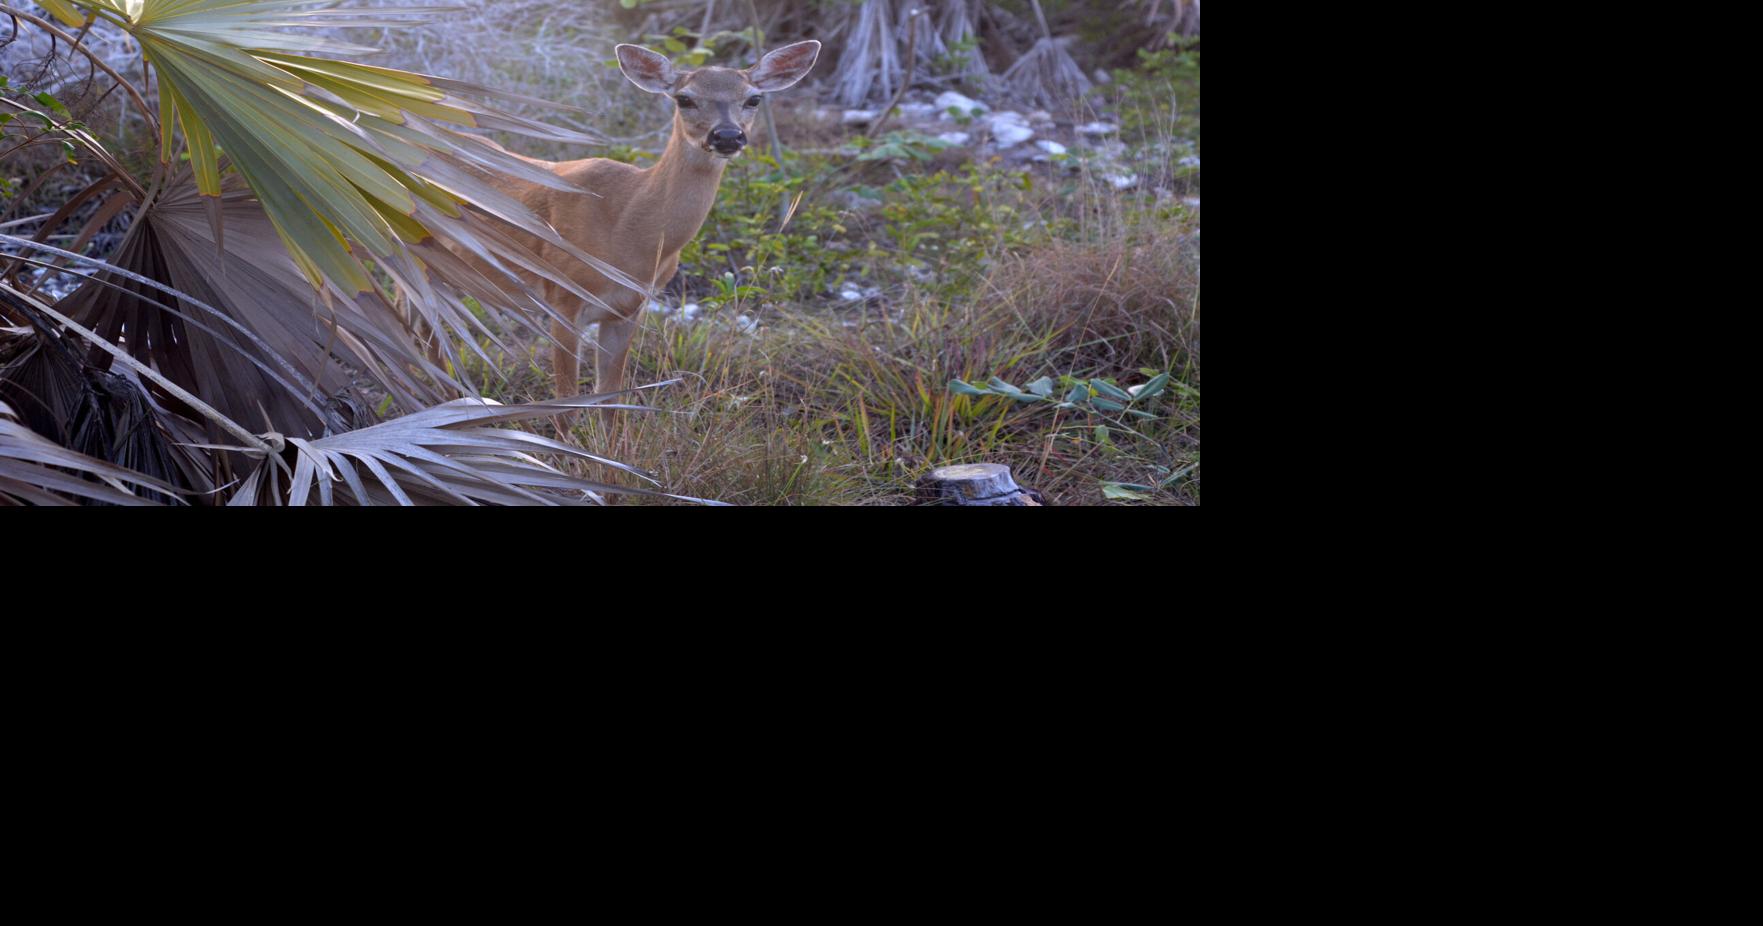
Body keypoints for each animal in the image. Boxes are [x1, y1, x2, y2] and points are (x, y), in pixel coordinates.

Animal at [461, 40, 821, 427]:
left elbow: (611, 401)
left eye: (754, 99)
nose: (727, 135)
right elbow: (566, 406)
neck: (627, 232)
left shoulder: (628, 308)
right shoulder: (563, 299)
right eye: (684, 98)